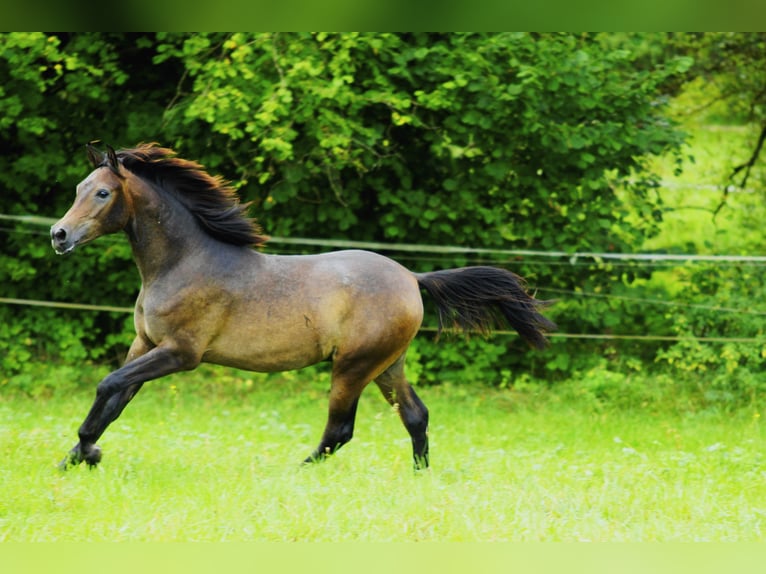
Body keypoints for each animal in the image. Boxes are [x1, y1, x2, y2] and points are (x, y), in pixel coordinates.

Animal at [52, 144, 560, 472]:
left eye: (102, 193)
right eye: (78, 187)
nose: (59, 235)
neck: (184, 262)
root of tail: (413, 279)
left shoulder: (180, 353)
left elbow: (108, 385)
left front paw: (87, 452)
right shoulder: (145, 345)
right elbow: (115, 399)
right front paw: (75, 457)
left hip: (353, 366)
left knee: (340, 430)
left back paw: (298, 470)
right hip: (388, 364)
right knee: (415, 416)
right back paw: (420, 476)